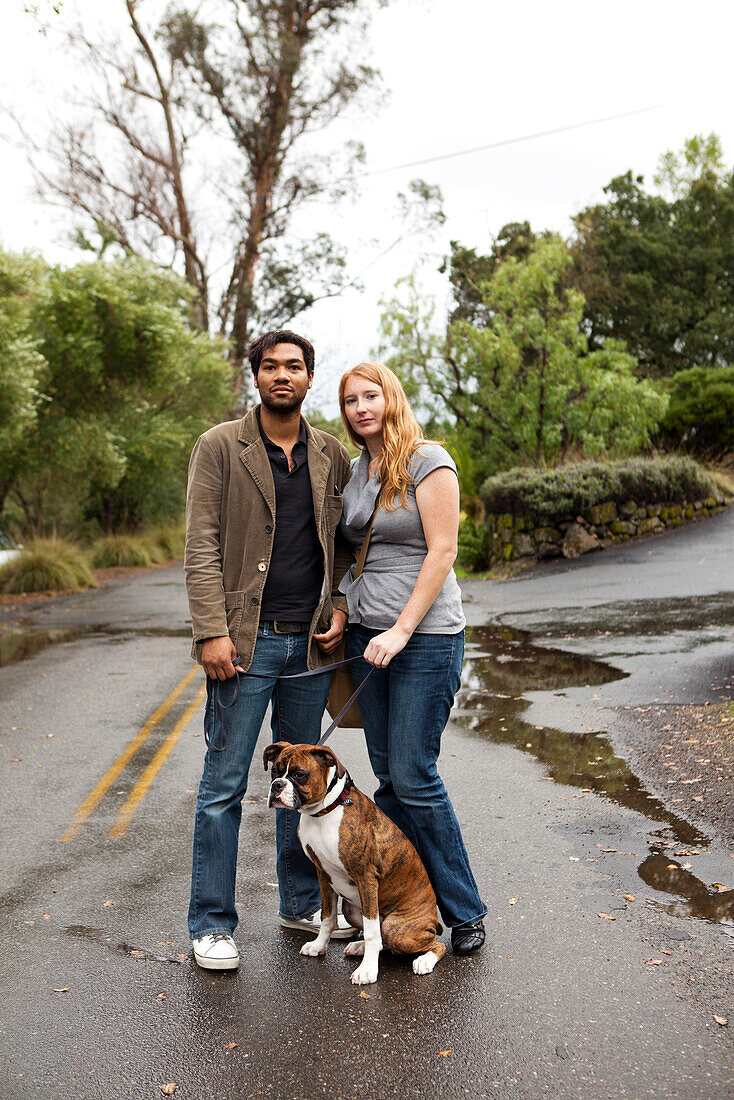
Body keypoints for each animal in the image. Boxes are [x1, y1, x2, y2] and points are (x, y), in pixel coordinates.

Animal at [265, 743, 448, 985]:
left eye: (299, 774)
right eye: (274, 771)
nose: (277, 785)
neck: (325, 811)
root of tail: (433, 920)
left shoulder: (366, 878)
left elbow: (371, 932)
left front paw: (368, 970)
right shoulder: (323, 874)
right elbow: (327, 917)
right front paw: (319, 946)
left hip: (396, 927)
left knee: (432, 944)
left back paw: (424, 961)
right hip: (351, 909)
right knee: (383, 941)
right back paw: (359, 947)